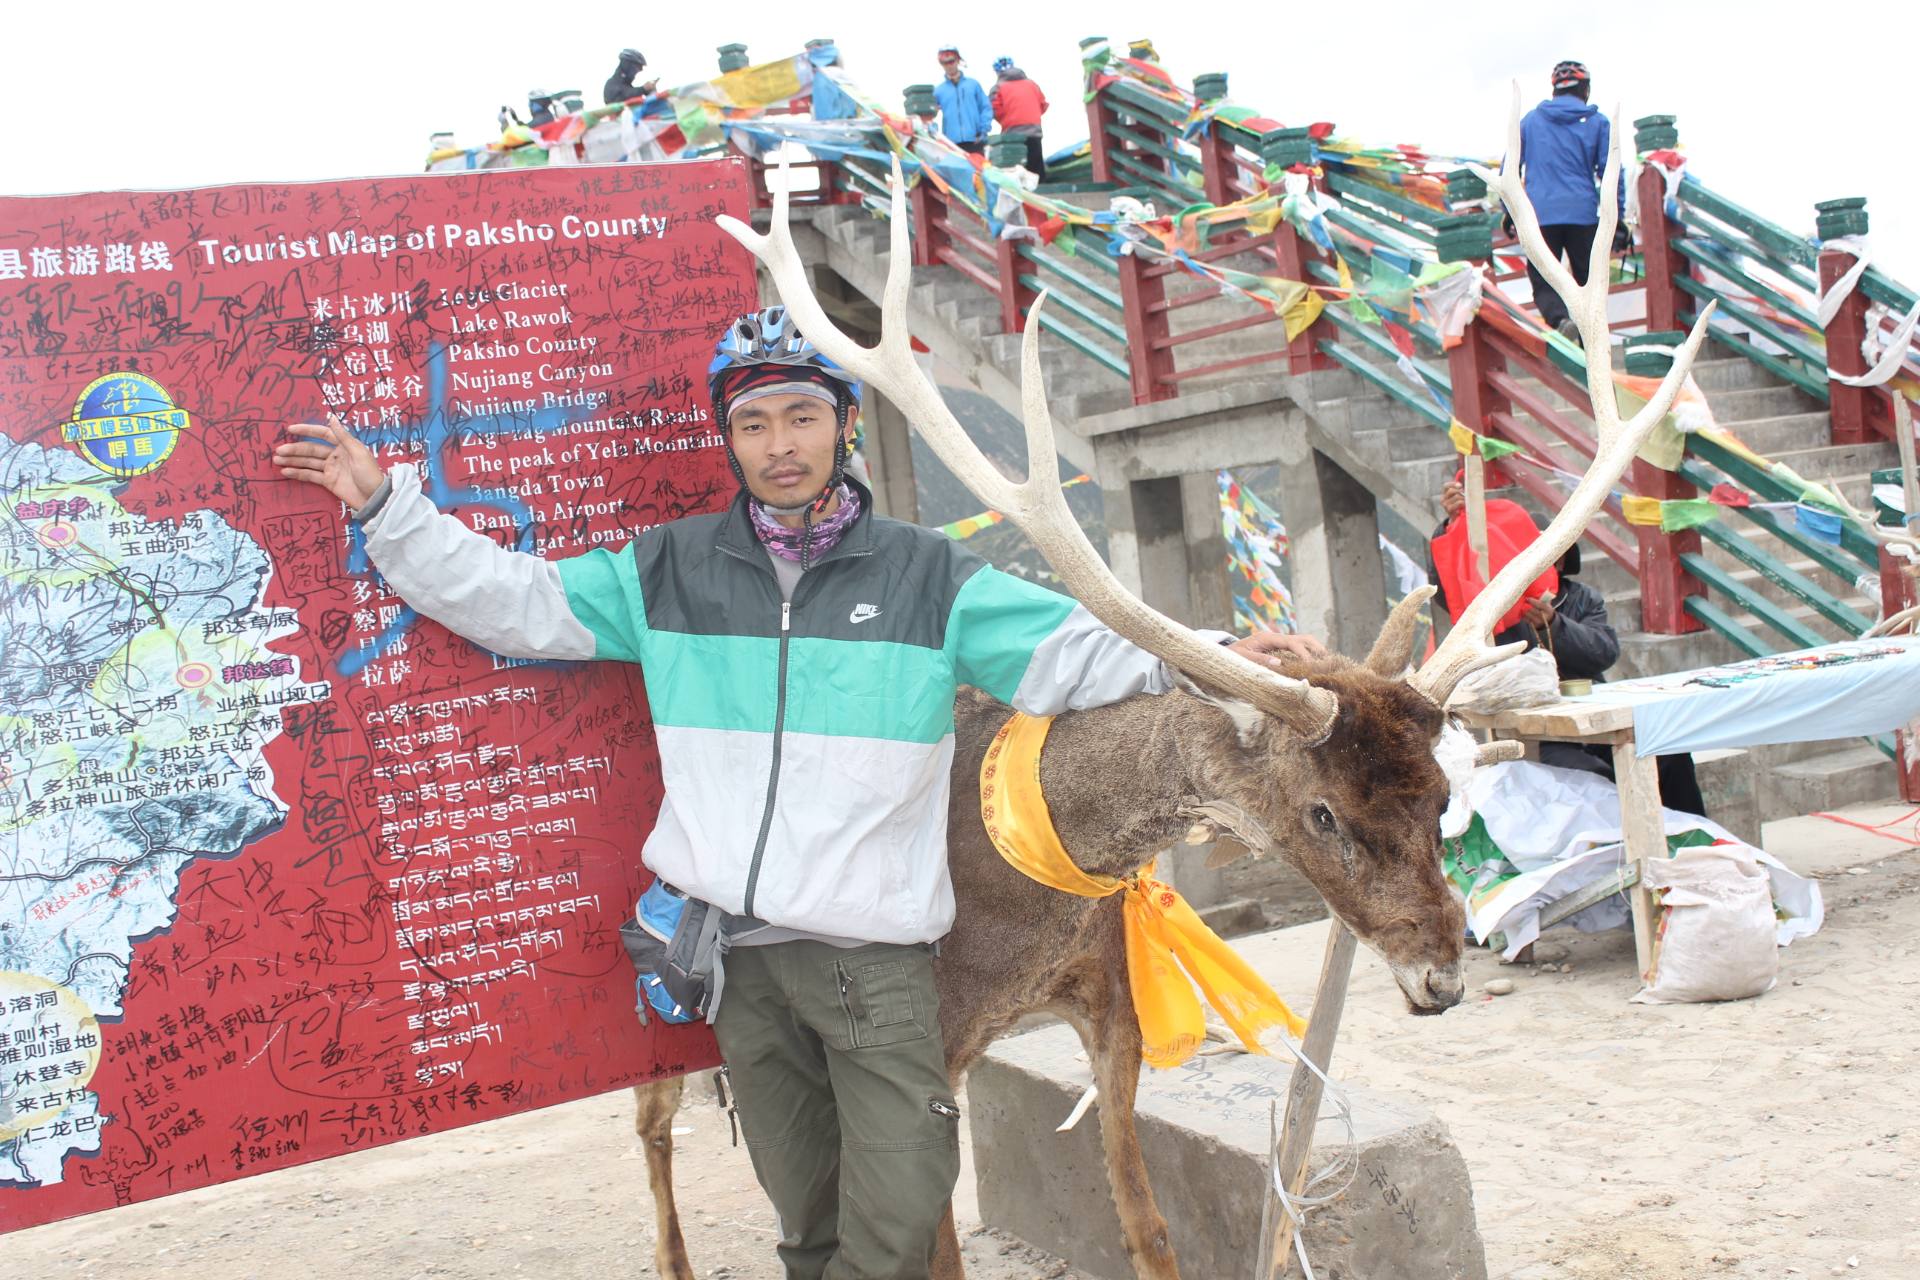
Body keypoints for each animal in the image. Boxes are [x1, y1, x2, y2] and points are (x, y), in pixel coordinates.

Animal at [625, 84, 1712, 1274]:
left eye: (1441, 798)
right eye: (1322, 811)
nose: (1440, 980)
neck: (1020, 895)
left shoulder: (1113, 1017)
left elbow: (1147, 1228)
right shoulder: (926, 1052)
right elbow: (927, 1242)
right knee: (656, 1127)